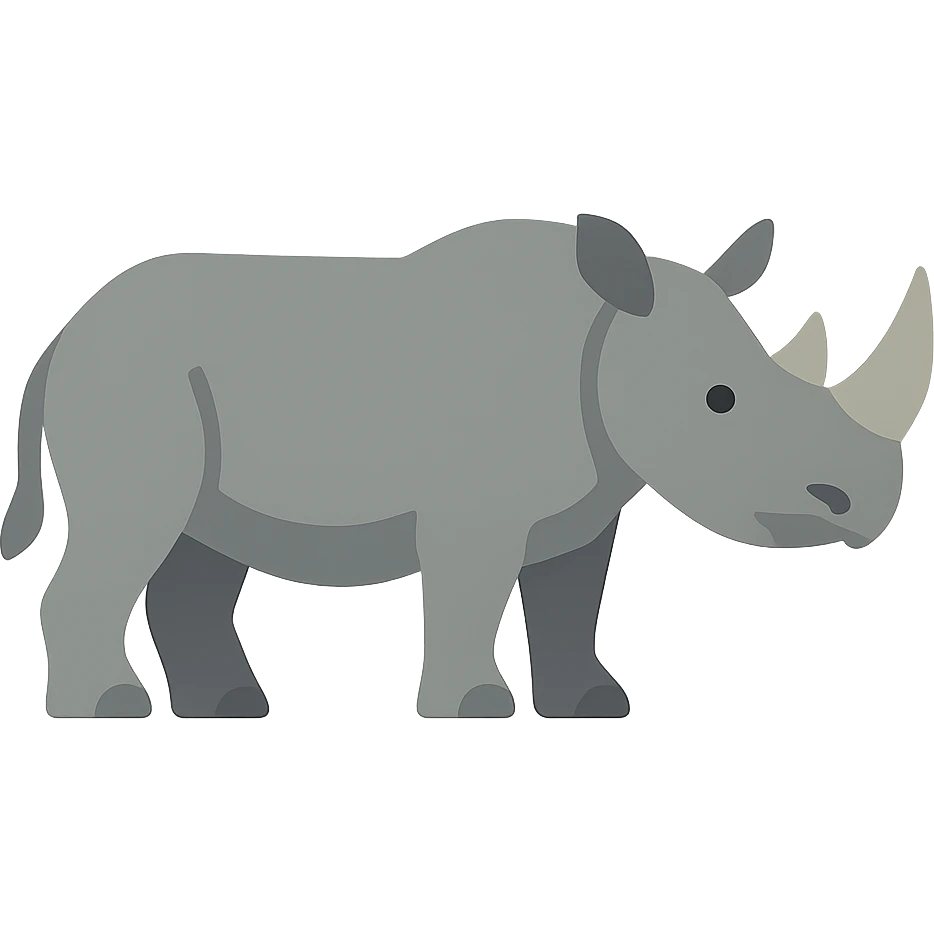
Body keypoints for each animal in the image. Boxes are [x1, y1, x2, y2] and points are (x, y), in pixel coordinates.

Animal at [3, 218, 931, 720]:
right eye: (720, 401)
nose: (863, 502)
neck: (606, 335)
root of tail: (65, 329)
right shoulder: (475, 510)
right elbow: (474, 594)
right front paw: (474, 709)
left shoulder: (588, 499)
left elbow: (569, 599)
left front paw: (592, 706)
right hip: (130, 382)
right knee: (134, 531)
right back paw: (105, 710)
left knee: (193, 543)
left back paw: (228, 711)